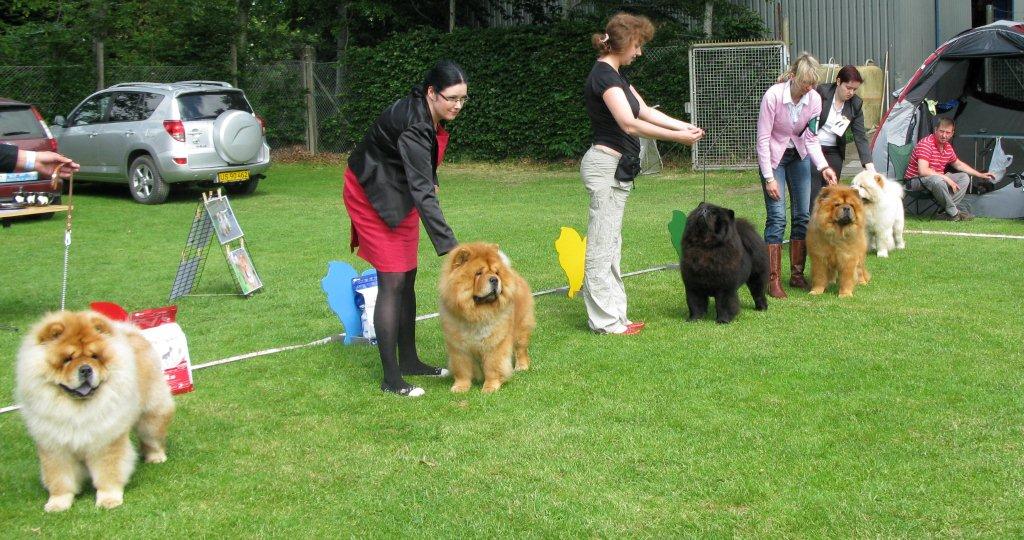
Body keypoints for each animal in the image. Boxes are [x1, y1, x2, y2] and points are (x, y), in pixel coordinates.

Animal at [15, 311, 174, 514]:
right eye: (67, 359)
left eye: (95, 357)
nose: (85, 369)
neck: (78, 408)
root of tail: (131, 331)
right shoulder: (55, 447)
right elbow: (60, 479)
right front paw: (58, 503)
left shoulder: (106, 441)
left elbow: (108, 473)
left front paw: (109, 500)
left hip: (151, 413)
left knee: (152, 436)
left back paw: (156, 457)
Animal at [438, 243, 536, 393]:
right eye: (478, 273)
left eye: (496, 272)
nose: (495, 279)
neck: (477, 313)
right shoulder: (458, 347)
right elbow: (462, 369)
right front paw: (460, 387)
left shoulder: (495, 343)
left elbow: (493, 366)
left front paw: (490, 387)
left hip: (521, 326)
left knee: (521, 348)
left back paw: (521, 366)